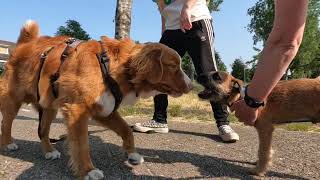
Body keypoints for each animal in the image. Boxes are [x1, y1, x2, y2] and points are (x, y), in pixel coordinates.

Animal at [0, 20, 192, 179]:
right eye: (173, 66)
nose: (191, 86)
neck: (112, 67)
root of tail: (24, 45)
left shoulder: (105, 109)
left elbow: (126, 130)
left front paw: (132, 154)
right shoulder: (77, 111)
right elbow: (82, 145)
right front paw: (88, 171)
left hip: (49, 106)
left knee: (42, 131)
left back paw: (49, 151)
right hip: (13, 100)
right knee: (6, 123)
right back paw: (8, 143)